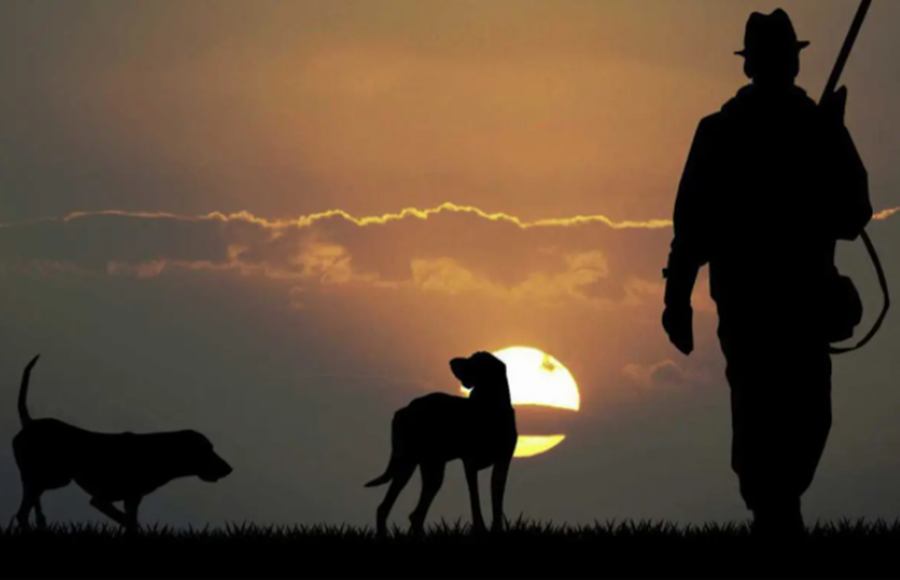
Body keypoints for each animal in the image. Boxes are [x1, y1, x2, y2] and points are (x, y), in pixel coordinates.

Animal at [10, 352, 234, 532]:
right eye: (208, 449)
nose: (229, 469)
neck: (159, 450)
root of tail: (30, 423)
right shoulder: (101, 499)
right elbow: (128, 522)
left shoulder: (131, 500)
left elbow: (130, 522)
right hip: (54, 478)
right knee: (26, 508)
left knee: (27, 508)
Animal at [360, 348, 512, 536]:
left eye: (472, 361)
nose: (451, 361)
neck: (489, 407)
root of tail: (405, 409)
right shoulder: (470, 466)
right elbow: (474, 499)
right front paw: (480, 529)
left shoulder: (502, 464)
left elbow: (497, 501)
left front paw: (497, 529)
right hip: (410, 464)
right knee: (388, 508)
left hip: (429, 470)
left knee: (413, 514)